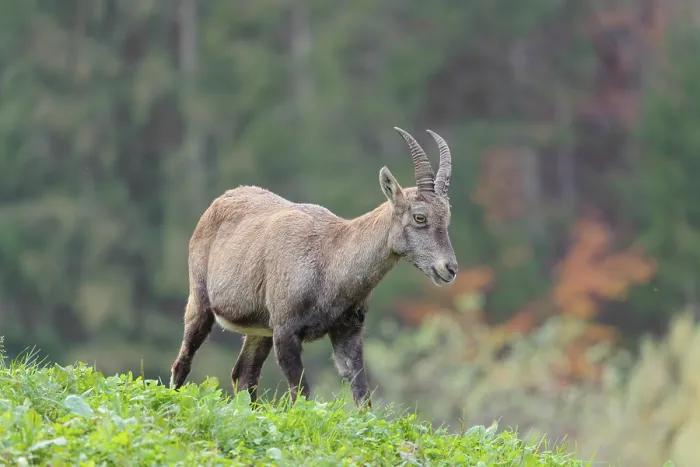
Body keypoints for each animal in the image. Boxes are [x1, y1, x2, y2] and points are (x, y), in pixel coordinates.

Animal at [170, 127, 458, 408]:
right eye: (419, 217)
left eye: (447, 218)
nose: (450, 268)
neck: (330, 260)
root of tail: (219, 201)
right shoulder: (286, 331)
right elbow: (302, 394)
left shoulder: (347, 332)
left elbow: (362, 396)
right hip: (200, 301)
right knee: (183, 362)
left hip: (260, 329)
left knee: (244, 374)